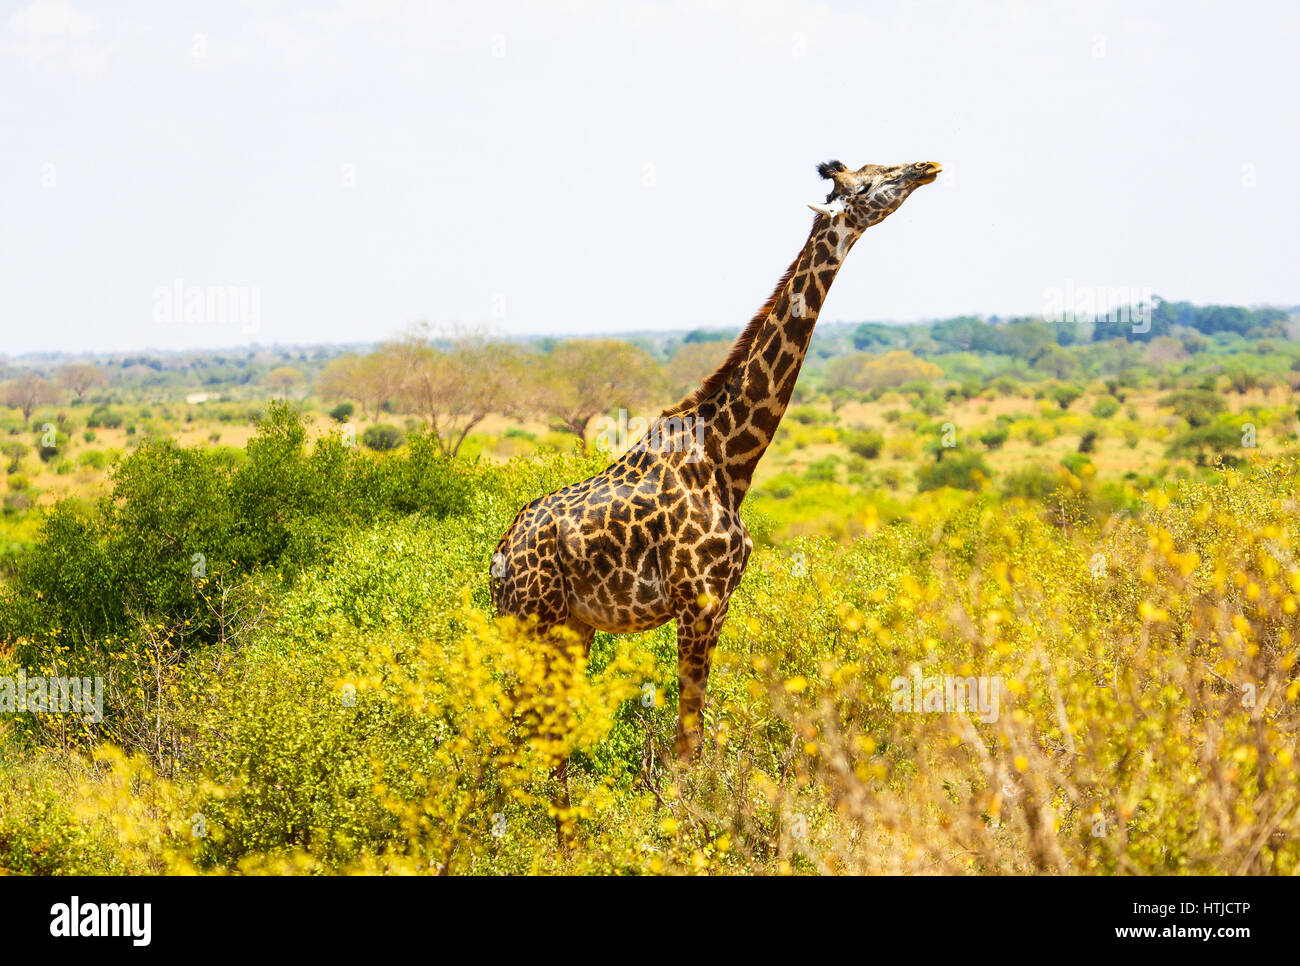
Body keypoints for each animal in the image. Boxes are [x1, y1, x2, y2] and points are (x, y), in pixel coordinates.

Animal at [491, 156, 941, 764]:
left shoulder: (722, 601)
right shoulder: (697, 601)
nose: (926, 166)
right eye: (869, 182)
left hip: (570, 625)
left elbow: (693, 733)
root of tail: (499, 558)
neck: (730, 457)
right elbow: (689, 738)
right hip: (534, 619)